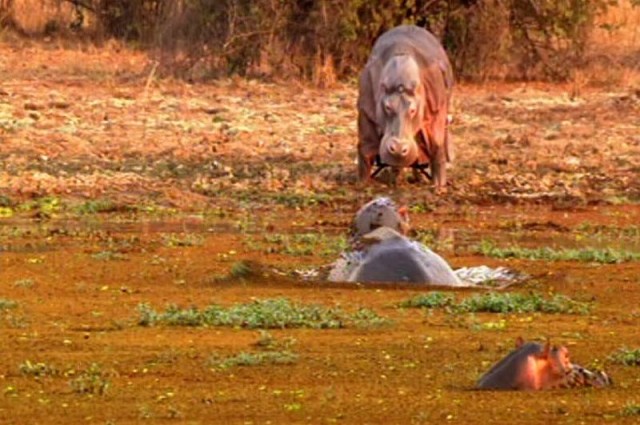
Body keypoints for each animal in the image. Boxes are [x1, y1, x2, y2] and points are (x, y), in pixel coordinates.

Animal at [356, 23, 456, 189]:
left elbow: (436, 145)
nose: (397, 149)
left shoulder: (436, 109)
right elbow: (366, 146)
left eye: (413, 109)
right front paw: (363, 184)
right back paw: (396, 178)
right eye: (387, 107)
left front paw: (438, 187)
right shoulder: (365, 109)